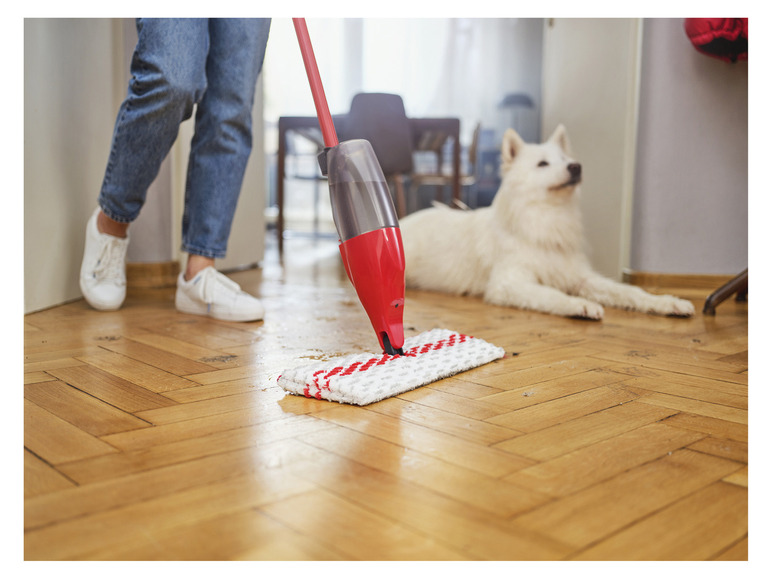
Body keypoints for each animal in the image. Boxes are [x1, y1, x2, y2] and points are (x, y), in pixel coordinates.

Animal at [402, 125, 696, 322]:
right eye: (542, 164)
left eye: (566, 160)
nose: (576, 167)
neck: (548, 219)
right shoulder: (508, 284)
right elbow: (551, 295)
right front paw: (580, 306)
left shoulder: (581, 277)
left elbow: (629, 290)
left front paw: (666, 302)